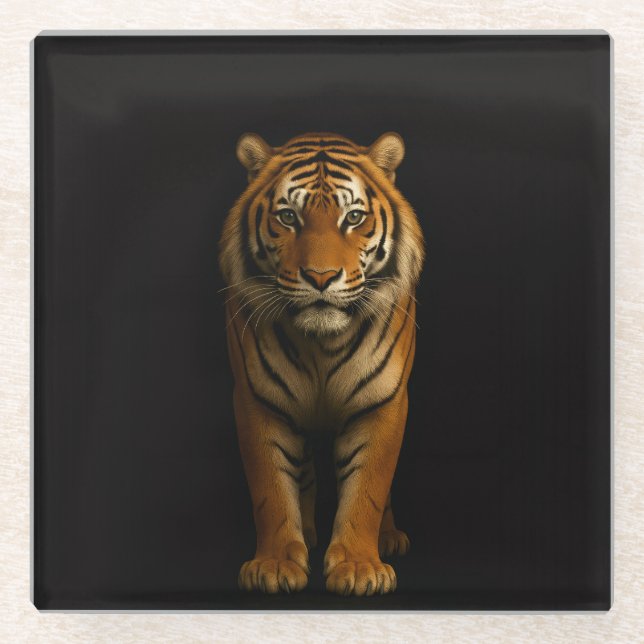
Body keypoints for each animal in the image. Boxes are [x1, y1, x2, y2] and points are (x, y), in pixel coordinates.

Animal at [219, 131, 425, 596]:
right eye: (287, 216)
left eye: (354, 217)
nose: (320, 277)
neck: (321, 344)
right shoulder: (257, 402)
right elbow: (271, 489)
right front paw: (275, 564)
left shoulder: (383, 403)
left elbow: (369, 488)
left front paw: (361, 567)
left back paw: (389, 538)